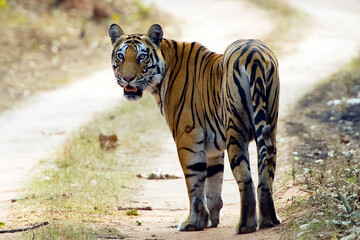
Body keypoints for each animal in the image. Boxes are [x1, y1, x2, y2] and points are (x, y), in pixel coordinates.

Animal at [108, 23, 280, 233]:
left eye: (142, 57)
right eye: (121, 56)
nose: (127, 78)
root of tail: (254, 55)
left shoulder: (187, 137)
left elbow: (195, 184)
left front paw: (194, 222)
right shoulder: (214, 147)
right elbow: (213, 183)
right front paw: (211, 220)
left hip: (235, 131)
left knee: (245, 178)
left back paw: (245, 226)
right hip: (270, 127)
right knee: (266, 175)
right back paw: (268, 220)